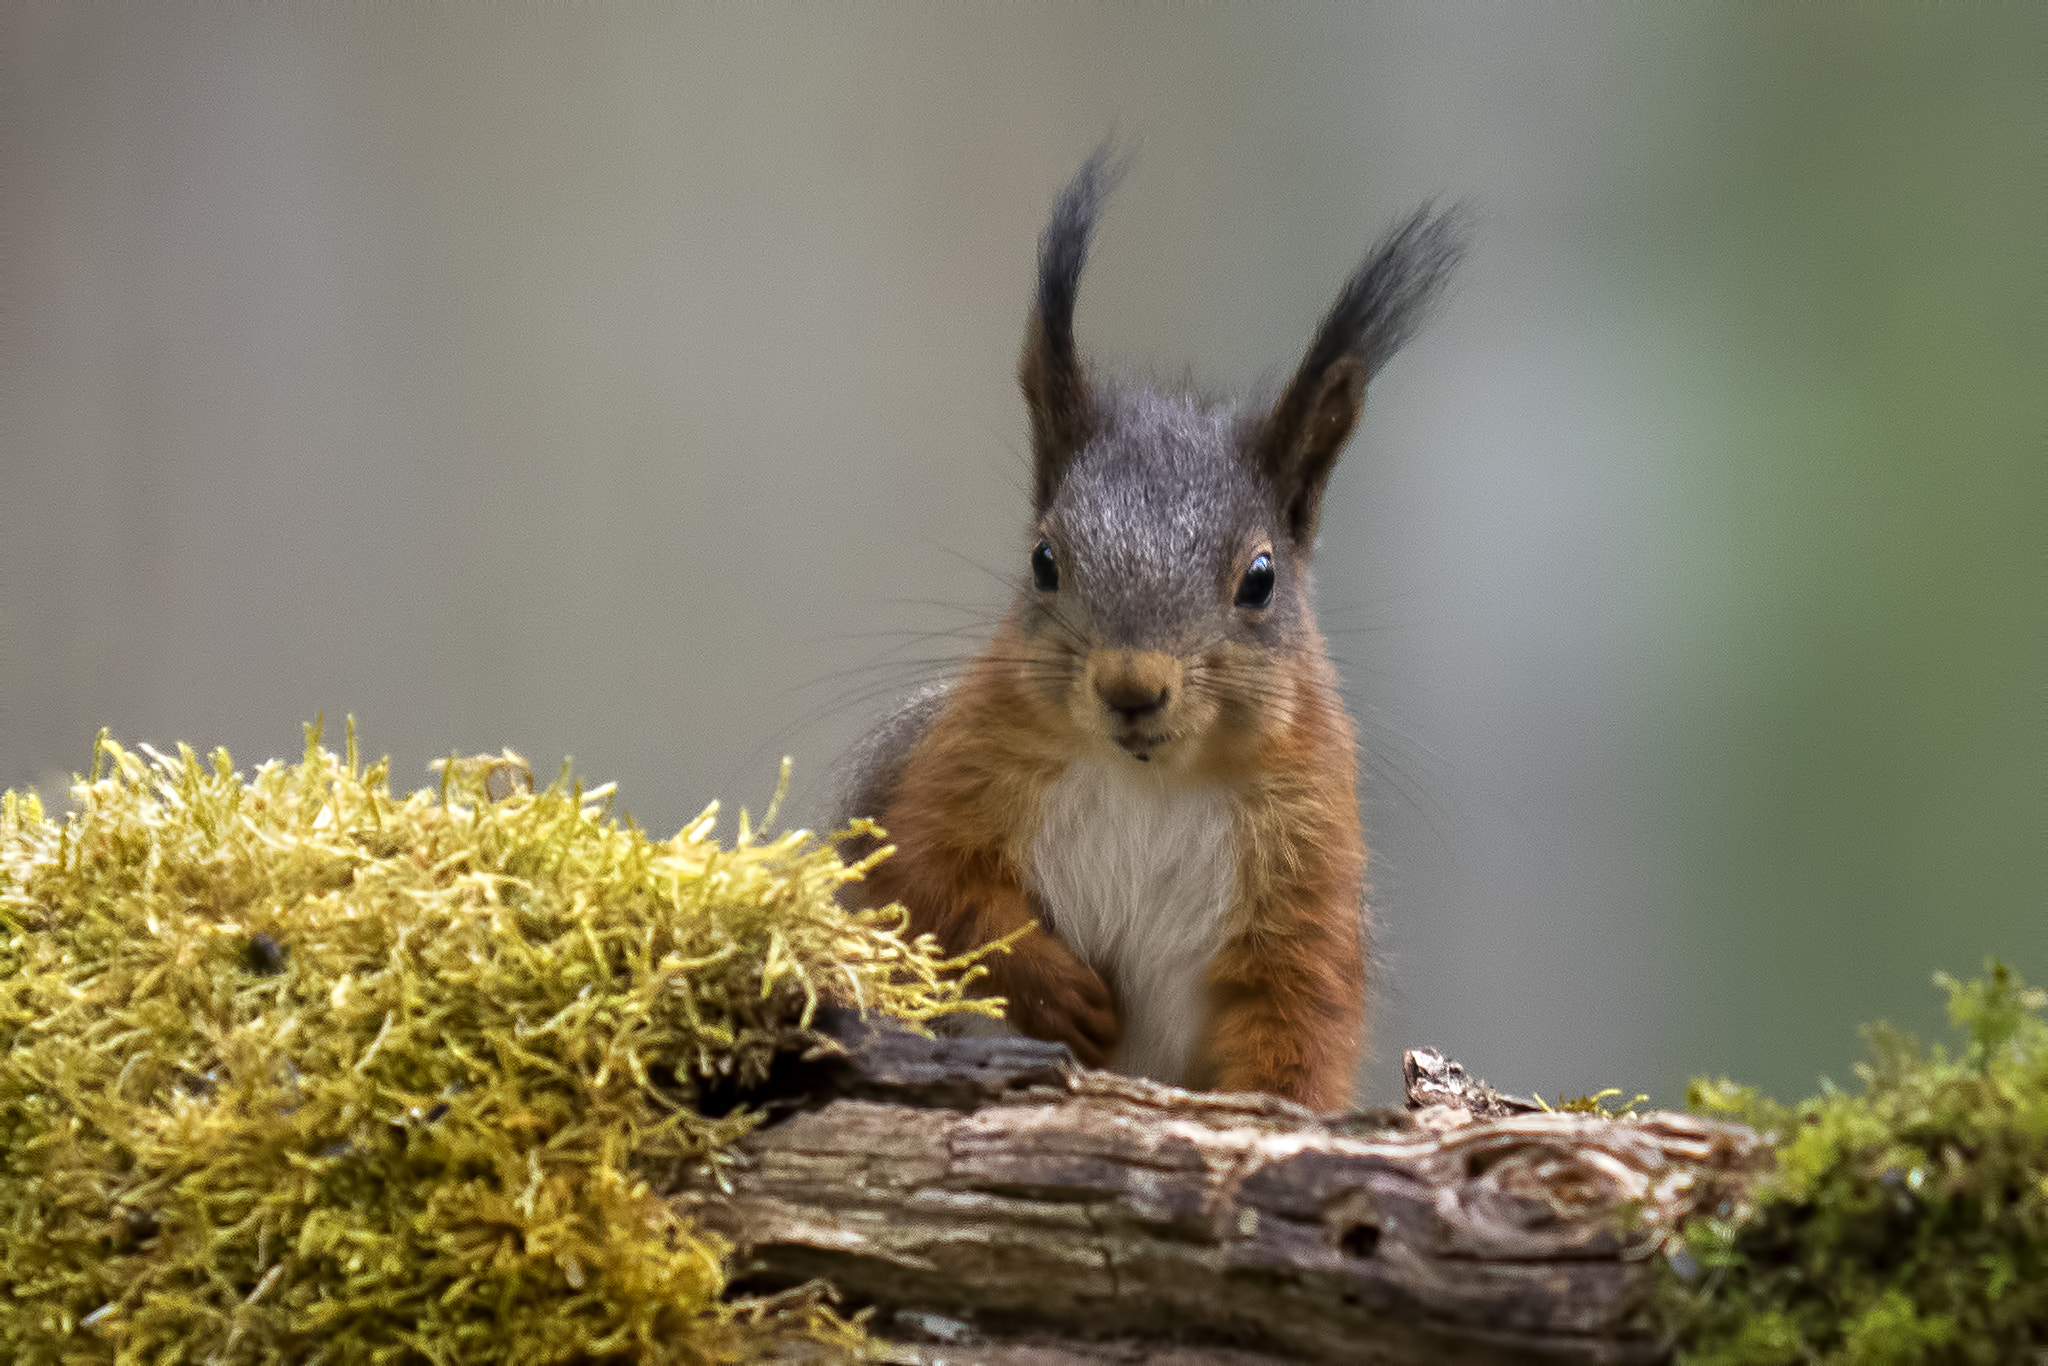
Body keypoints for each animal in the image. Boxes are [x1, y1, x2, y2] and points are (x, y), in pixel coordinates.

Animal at [835, 149, 1474, 1114]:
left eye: (1260, 579)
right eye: (1044, 560)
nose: (1131, 685)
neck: (1149, 781)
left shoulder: (1308, 874)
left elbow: (1296, 1014)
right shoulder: (941, 779)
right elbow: (939, 886)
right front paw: (1058, 991)